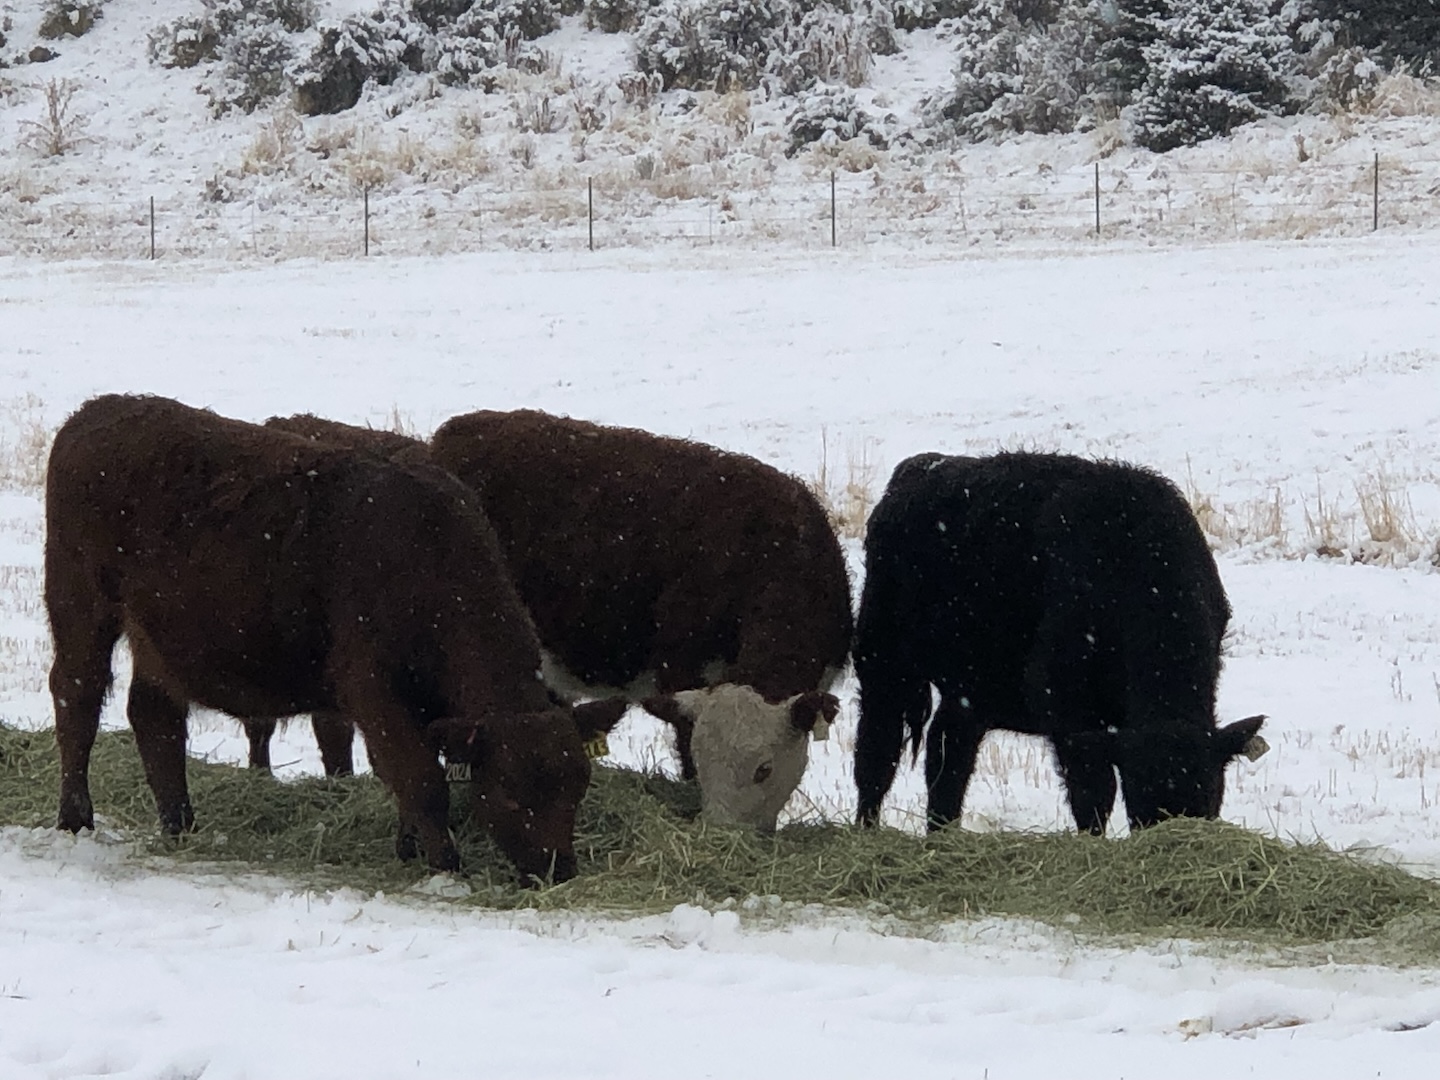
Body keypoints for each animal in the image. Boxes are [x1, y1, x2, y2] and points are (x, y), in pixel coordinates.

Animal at [45, 394, 625, 883]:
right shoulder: (372, 691)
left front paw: (409, 847)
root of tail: (95, 411)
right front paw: (445, 867)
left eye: (577, 785)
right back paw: (76, 819)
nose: (558, 871)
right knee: (77, 696)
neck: (430, 563)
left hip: (160, 639)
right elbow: (422, 780)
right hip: (80, 605)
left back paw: (179, 825)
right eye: (508, 793)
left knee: (155, 716)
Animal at [853, 451, 1266, 835]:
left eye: (1210, 796)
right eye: (1144, 799)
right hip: (883, 661)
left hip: (970, 689)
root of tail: (921, 468)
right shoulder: (1069, 714)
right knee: (876, 753)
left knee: (948, 754)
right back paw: (867, 829)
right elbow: (1094, 797)